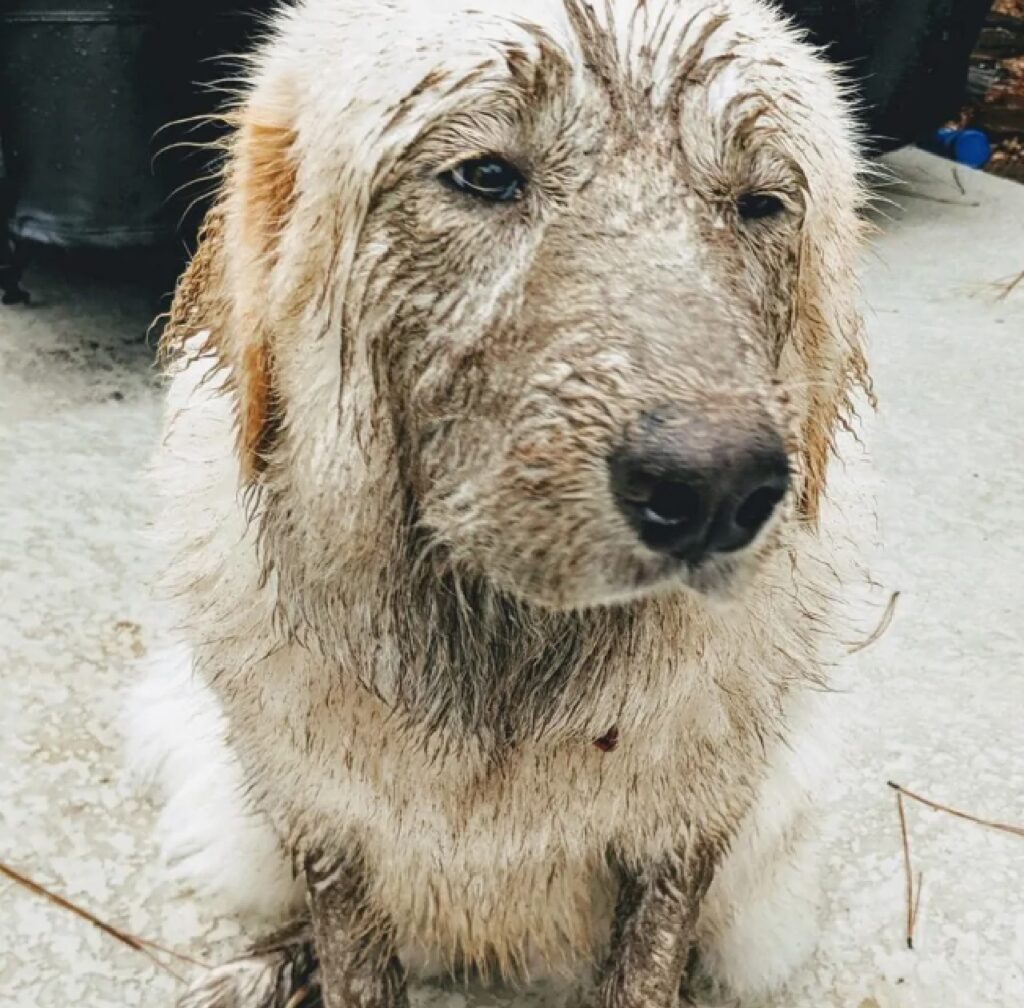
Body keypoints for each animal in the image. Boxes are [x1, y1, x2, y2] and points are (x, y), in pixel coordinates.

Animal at [128, 3, 868, 1003]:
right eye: (485, 176)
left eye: (758, 205)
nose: (717, 488)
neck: (503, 669)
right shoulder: (325, 824)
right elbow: (351, 953)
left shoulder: (683, 834)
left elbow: (650, 964)